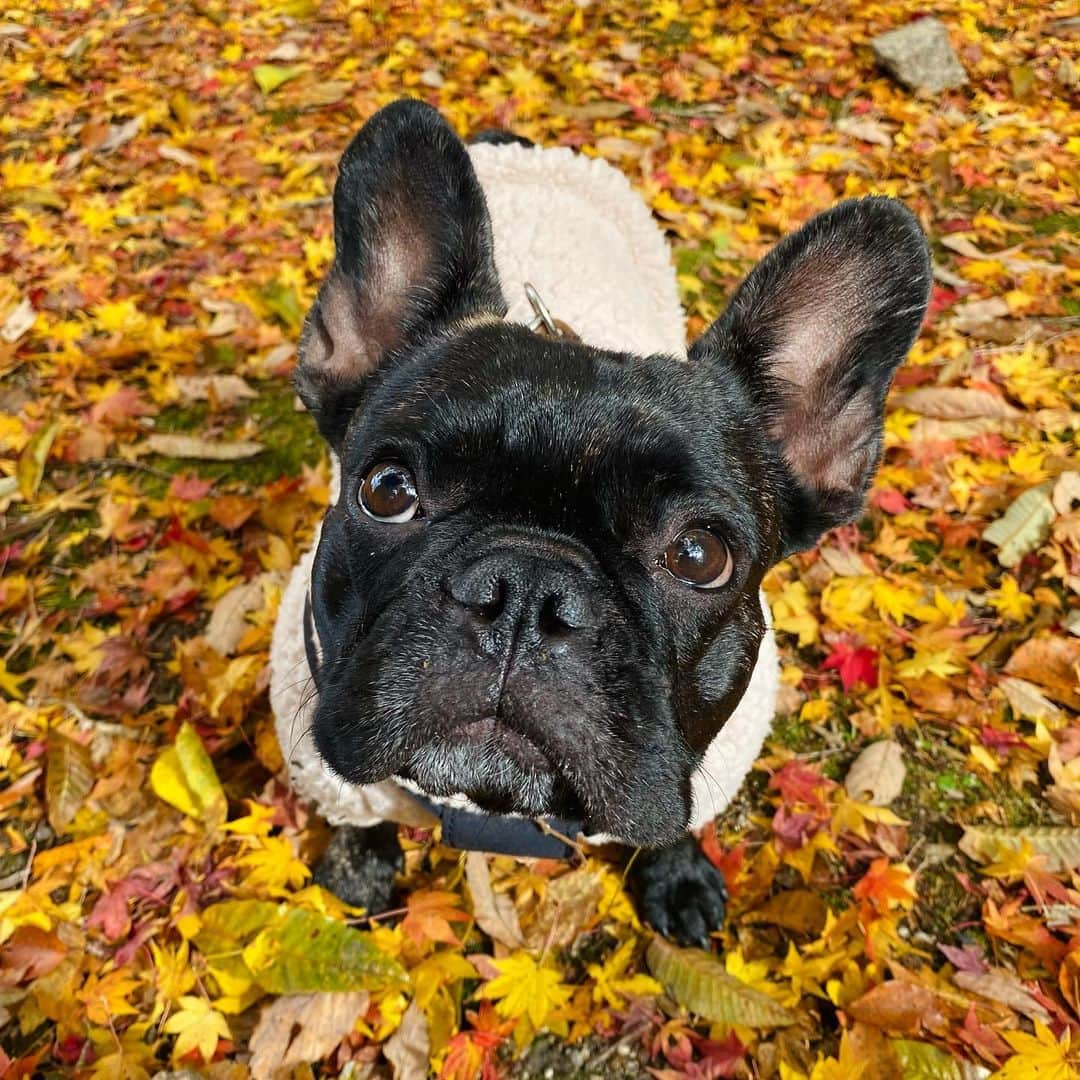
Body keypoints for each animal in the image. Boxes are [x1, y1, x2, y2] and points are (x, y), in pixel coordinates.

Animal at [287, 101, 928, 946]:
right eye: (387, 490)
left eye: (699, 555)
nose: (524, 591)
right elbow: (357, 812)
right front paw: (358, 869)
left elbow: (676, 823)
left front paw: (677, 877)